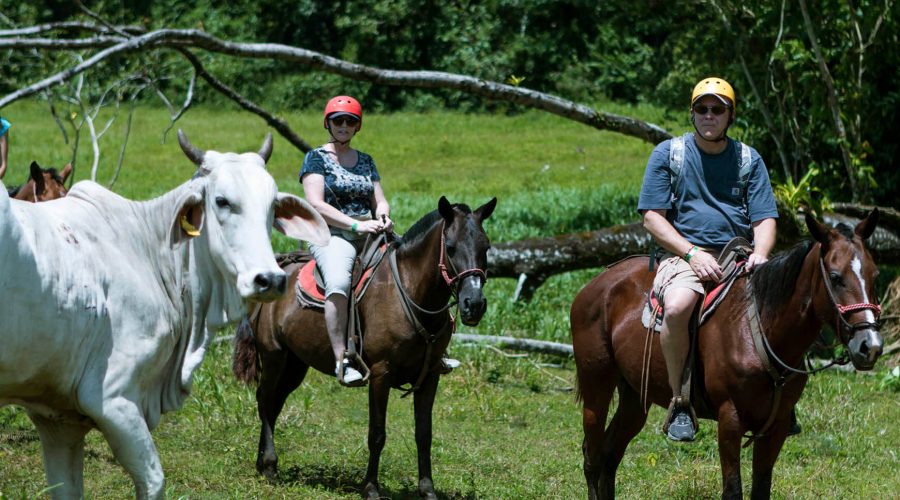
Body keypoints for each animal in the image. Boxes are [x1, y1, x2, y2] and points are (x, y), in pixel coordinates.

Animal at [0, 131, 328, 498]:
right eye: (222, 201)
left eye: (272, 206)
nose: (269, 279)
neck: (148, 249)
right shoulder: (112, 399)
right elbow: (154, 481)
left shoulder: (59, 419)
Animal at [232, 196, 500, 500]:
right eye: (451, 247)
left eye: (486, 247)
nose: (474, 304)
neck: (409, 291)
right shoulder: (381, 374)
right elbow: (377, 433)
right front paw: (371, 487)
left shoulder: (430, 377)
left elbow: (424, 434)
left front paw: (427, 490)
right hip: (274, 356)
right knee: (265, 400)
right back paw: (269, 465)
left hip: (295, 364)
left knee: (274, 403)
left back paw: (262, 463)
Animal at [572, 209, 884, 498]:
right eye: (835, 277)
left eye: (875, 275)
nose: (869, 345)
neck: (760, 329)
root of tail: (598, 283)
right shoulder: (729, 419)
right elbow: (733, 490)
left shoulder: (777, 425)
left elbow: (761, 489)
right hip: (596, 387)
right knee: (593, 457)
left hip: (636, 397)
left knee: (610, 455)